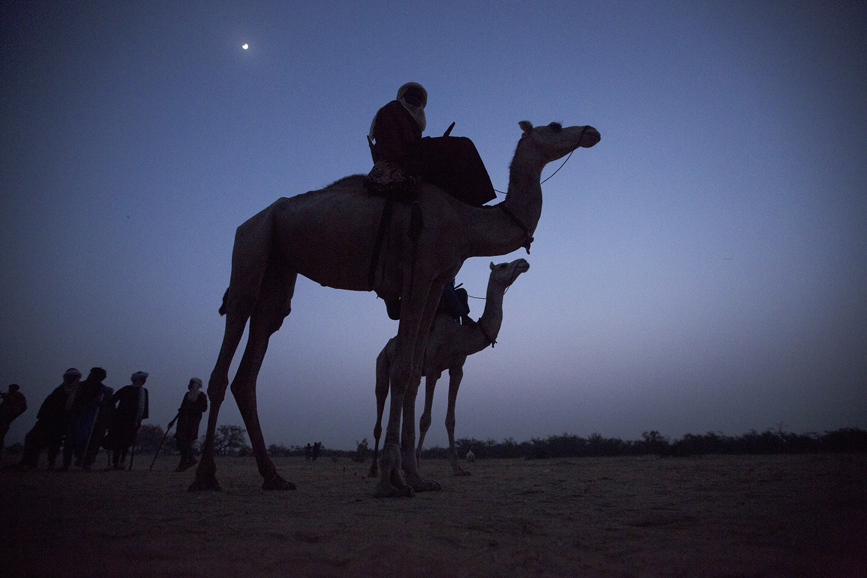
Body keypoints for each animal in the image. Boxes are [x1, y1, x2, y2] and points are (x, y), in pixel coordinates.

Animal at [368, 256, 528, 476]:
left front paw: (458, 467)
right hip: (382, 361)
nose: (523, 262)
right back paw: (374, 468)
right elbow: (425, 419)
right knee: (380, 397)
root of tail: (386, 347)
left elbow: (450, 420)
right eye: (503, 265)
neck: (456, 337)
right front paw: (418, 463)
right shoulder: (433, 369)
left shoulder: (456, 370)